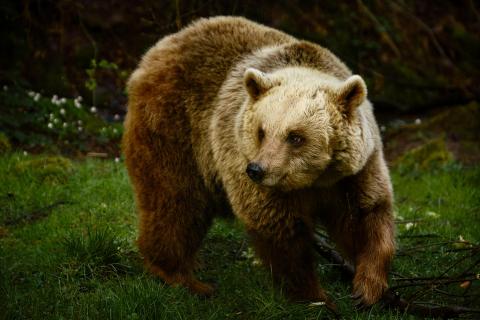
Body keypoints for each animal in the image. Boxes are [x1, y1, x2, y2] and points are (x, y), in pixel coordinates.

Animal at [123, 16, 394, 306]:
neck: (315, 179)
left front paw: (367, 286)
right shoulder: (246, 163)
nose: (257, 169)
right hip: (174, 125)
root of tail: (159, 48)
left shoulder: (354, 171)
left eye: (295, 136)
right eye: (261, 131)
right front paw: (313, 296)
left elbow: (365, 214)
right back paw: (183, 277)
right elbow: (277, 228)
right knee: (176, 201)